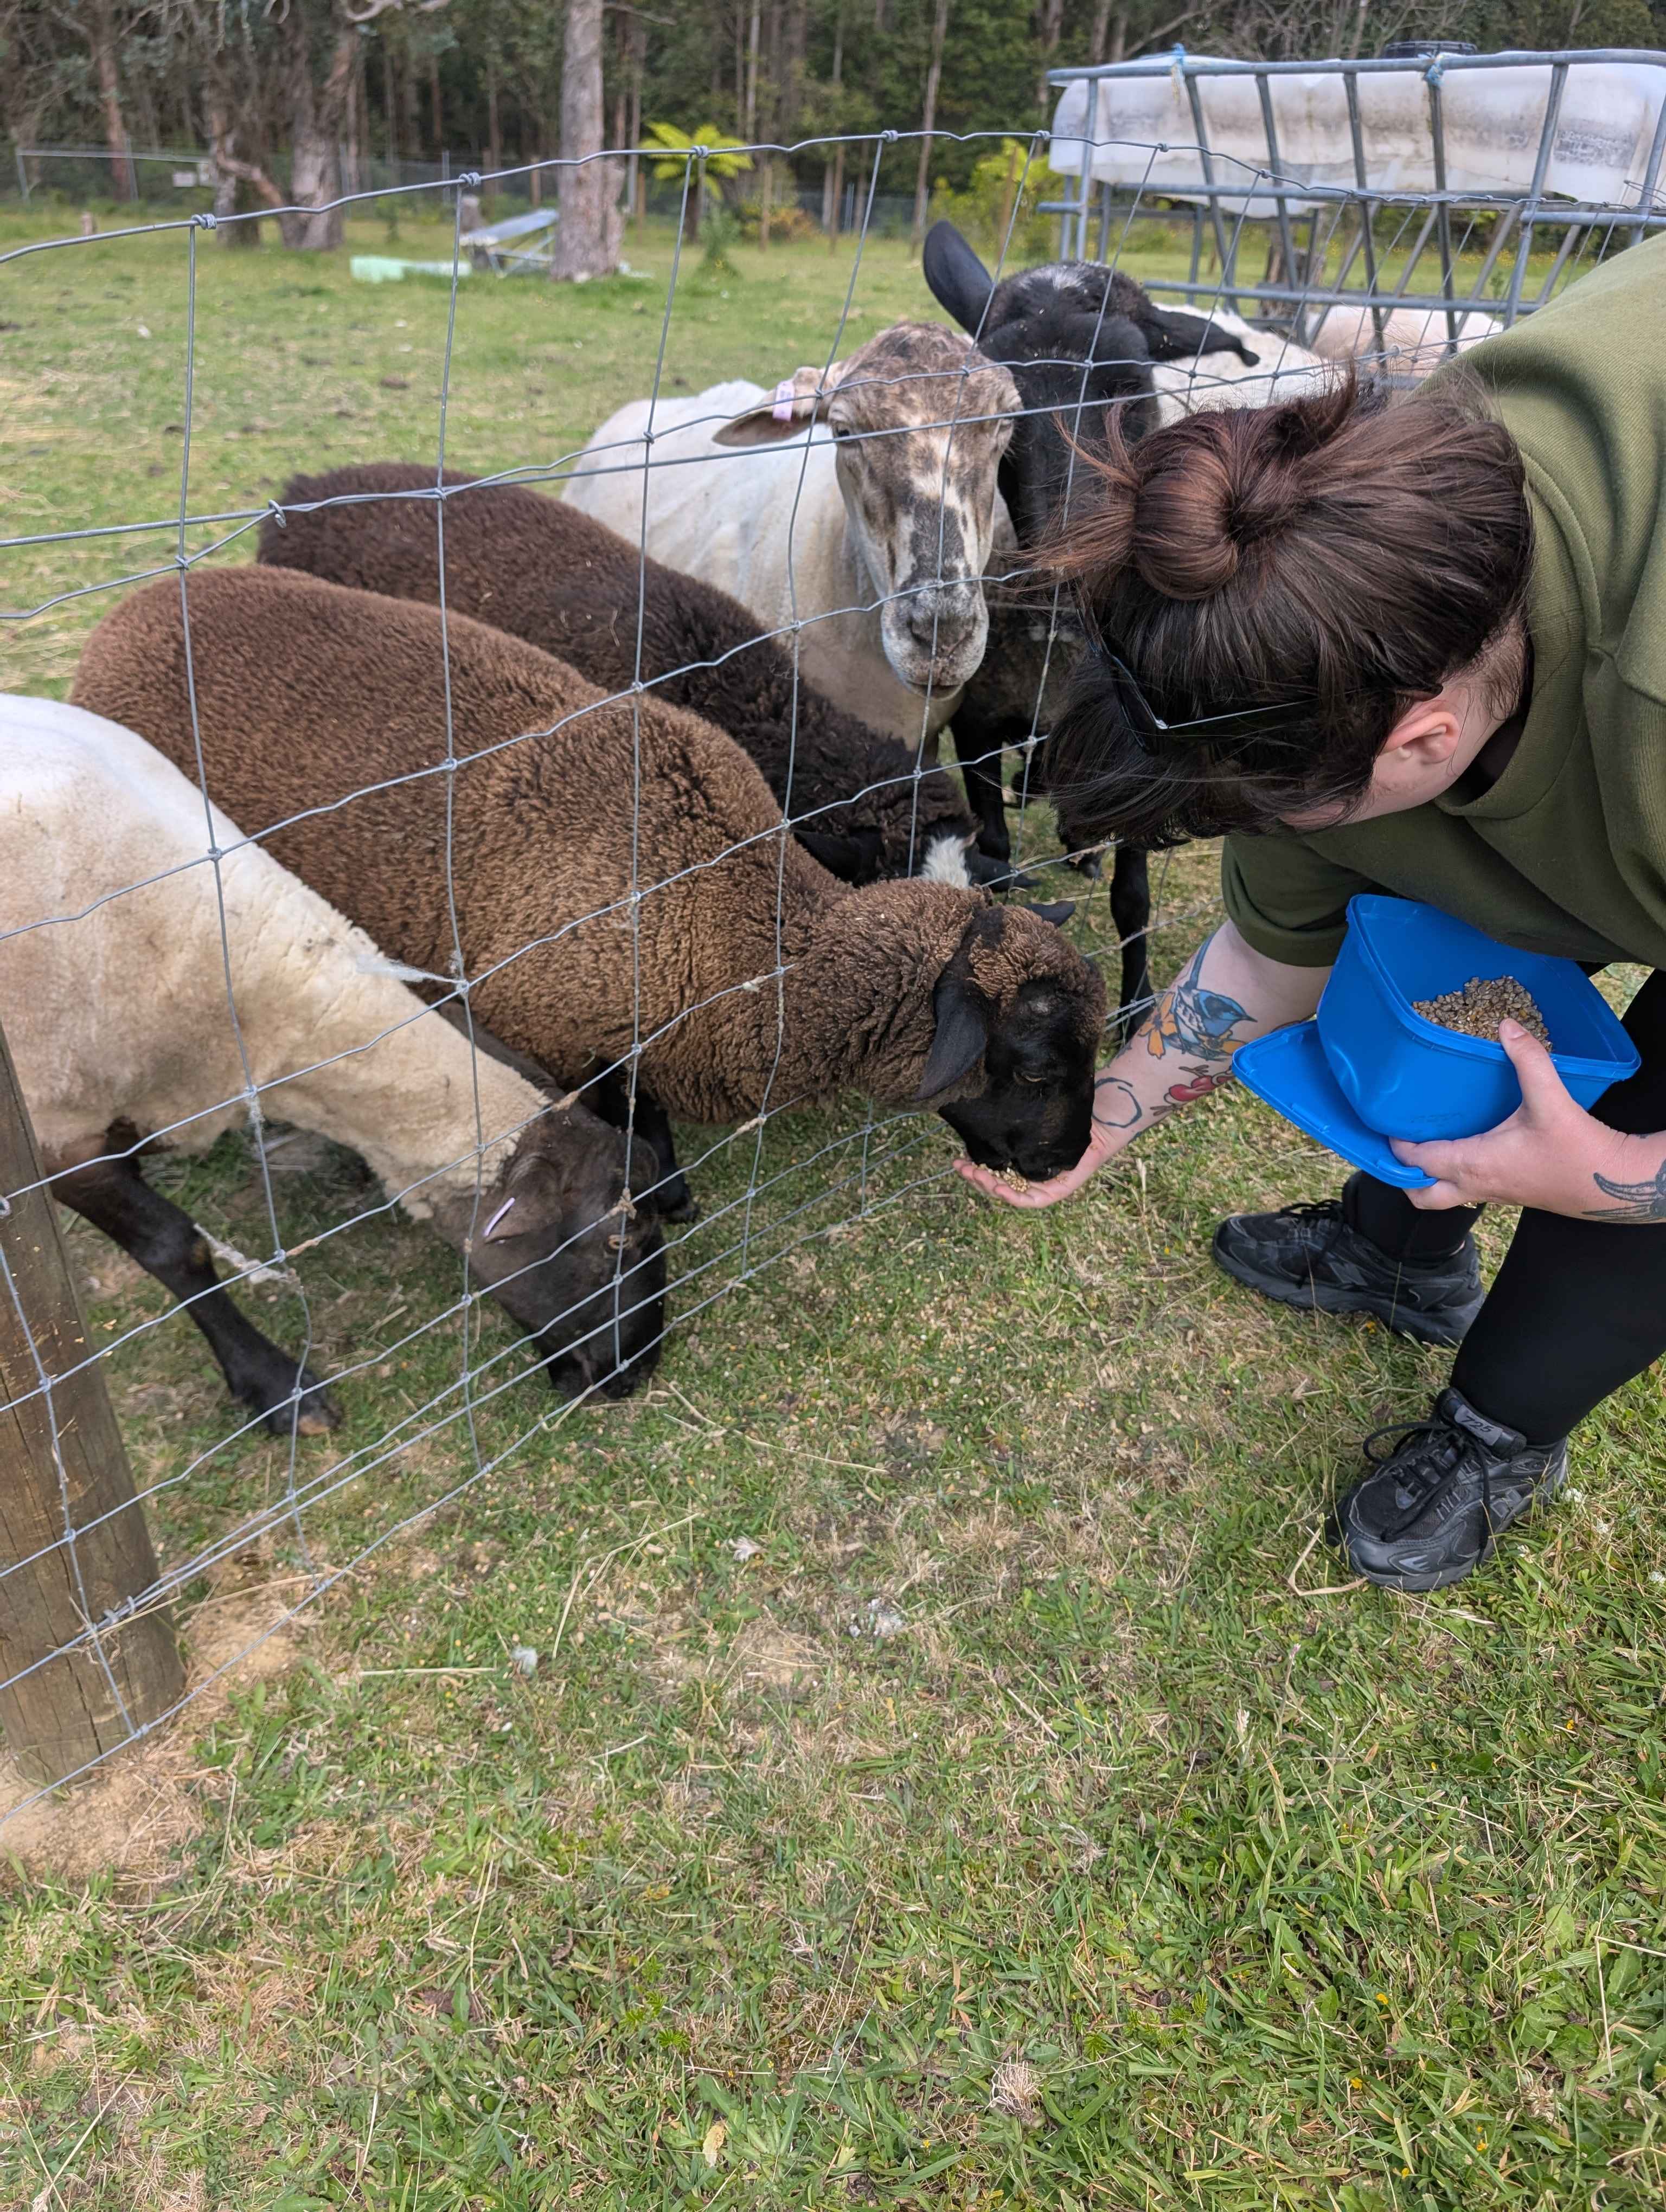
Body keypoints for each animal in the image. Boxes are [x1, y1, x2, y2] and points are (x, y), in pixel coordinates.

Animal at [72, 569, 1108, 1189]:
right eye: (1031, 1063)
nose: (1067, 1163)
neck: (745, 936)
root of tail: (136, 607)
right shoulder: (565, 1035)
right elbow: (635, 1132)